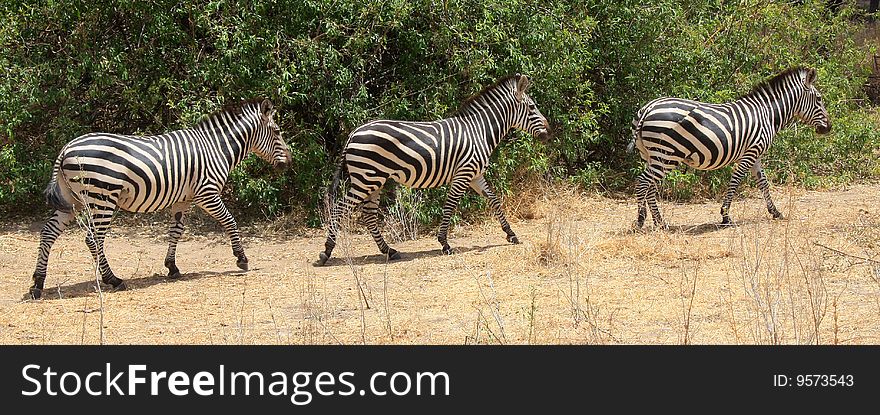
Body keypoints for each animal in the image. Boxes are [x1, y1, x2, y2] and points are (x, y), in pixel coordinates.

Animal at [29, 98, 290, 300]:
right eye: (277, 132)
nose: (289, 163)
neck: (216, 148)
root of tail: (66, 148)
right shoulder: (207, 193)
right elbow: (230, 221)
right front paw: (241, 258)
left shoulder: (183, 199)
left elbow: (176, 231)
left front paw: (172, 267)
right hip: (102, 198)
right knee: (93, 239)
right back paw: (113, 280)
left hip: (72, 200)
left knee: (48, 232)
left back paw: (37, 284)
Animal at [316, 74, 552, 266]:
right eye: (532, 108)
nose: (549, 133)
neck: (479, 132)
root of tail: (353, 133)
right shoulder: (463, 173)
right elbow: (450, 206)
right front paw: (445, 243)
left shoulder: (476, 175)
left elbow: (494, 200)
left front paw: (510, 234)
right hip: (366, 178)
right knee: (340, 208)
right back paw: (326, 252)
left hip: (374, 179)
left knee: (368, 215)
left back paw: (389, 251)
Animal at [628, 68, 828, 231]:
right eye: (819, 99)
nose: (829, 128)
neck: (767, 114)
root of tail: (648, 107)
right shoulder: (751, 152)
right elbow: (736, 180)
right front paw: (725, 216)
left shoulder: (756, 154)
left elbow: (763, 182)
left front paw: (775, 212)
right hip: (666, 154)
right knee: (643, 182)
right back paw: (642, 220)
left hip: (651, 155)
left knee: (650, 186)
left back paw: (659, 222)